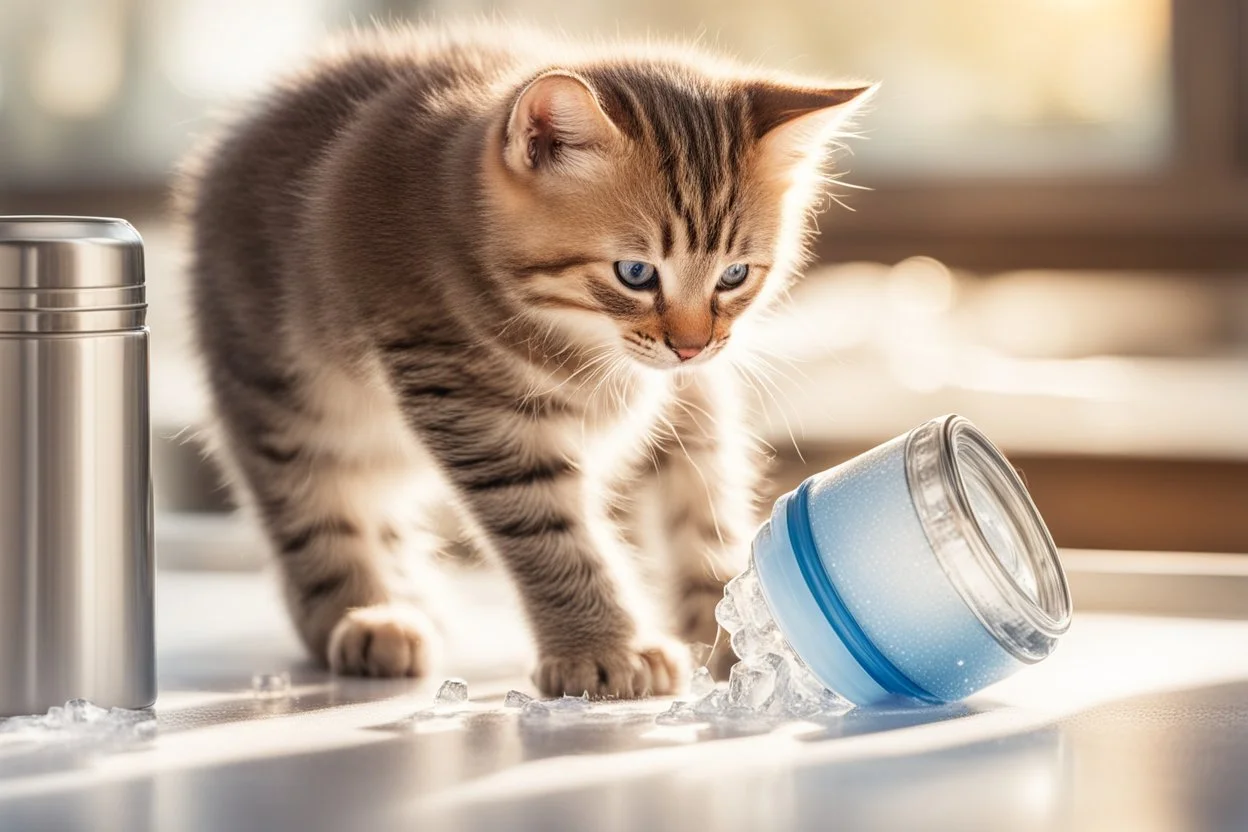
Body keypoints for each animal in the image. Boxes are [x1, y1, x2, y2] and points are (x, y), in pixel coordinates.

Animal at [180, 26, 868, 698]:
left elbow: (704, 502)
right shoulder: (464, 398)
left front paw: (738, 619)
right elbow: (549, 534)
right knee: (317, 514)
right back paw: (370, 615)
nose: (692, 345)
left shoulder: (692, 395)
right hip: (282, 396)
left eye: (733, 276)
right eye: (635, 273)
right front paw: (601, 649)